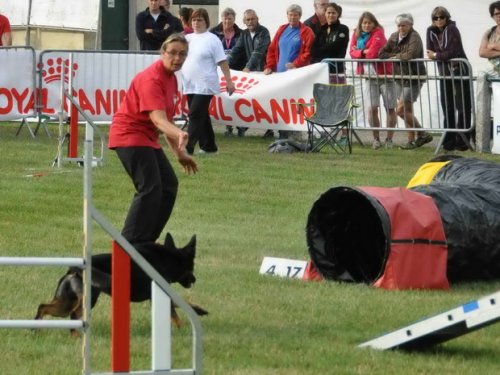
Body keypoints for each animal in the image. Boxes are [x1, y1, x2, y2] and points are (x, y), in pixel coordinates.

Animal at [35, 234, 207, 336]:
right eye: (192, 267)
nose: (195, 279)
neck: (169, 258)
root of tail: (73, 269)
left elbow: (181, 304)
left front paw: (198, 310)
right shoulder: (159, 294)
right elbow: (175, 314)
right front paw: (182, 329)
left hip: (65, 303)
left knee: (43, 307)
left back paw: (37, 330)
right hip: (87, 299)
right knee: (74, 315)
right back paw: (77, 337)